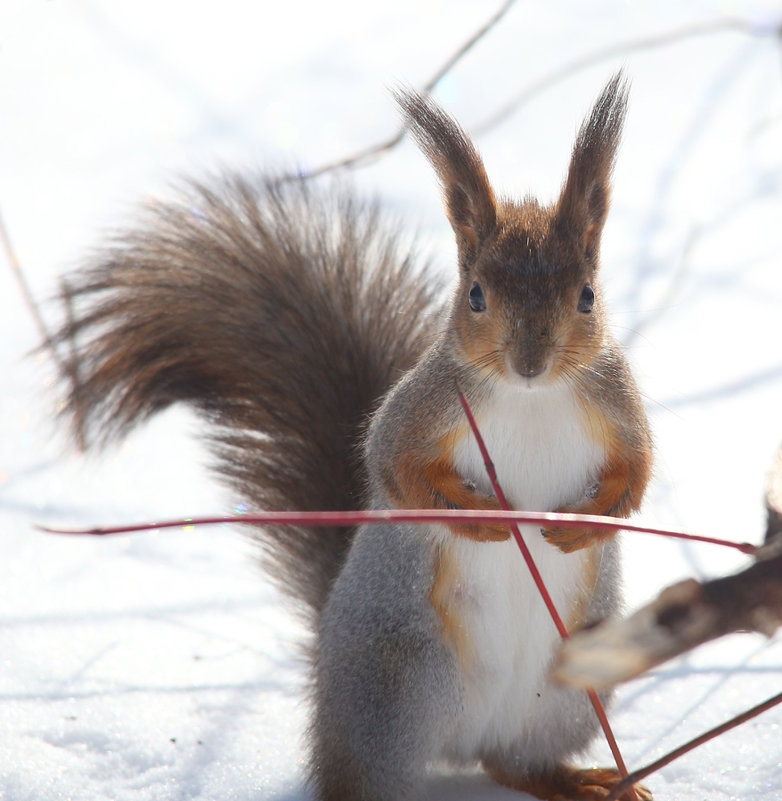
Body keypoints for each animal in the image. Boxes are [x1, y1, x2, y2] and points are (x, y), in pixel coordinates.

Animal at [56, 73, 656, 800]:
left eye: (588, 296)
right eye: (476, 294)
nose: (530, 362)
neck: (530, 398)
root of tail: (459, 740)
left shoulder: (617, 403)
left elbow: (639, 472)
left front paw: (586, 523)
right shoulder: (422, 408)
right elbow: (391, 466)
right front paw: (479, 516)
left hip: (569, 687)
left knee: (513, 761)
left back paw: (580, 780)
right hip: (391, 692)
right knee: (365, 773)